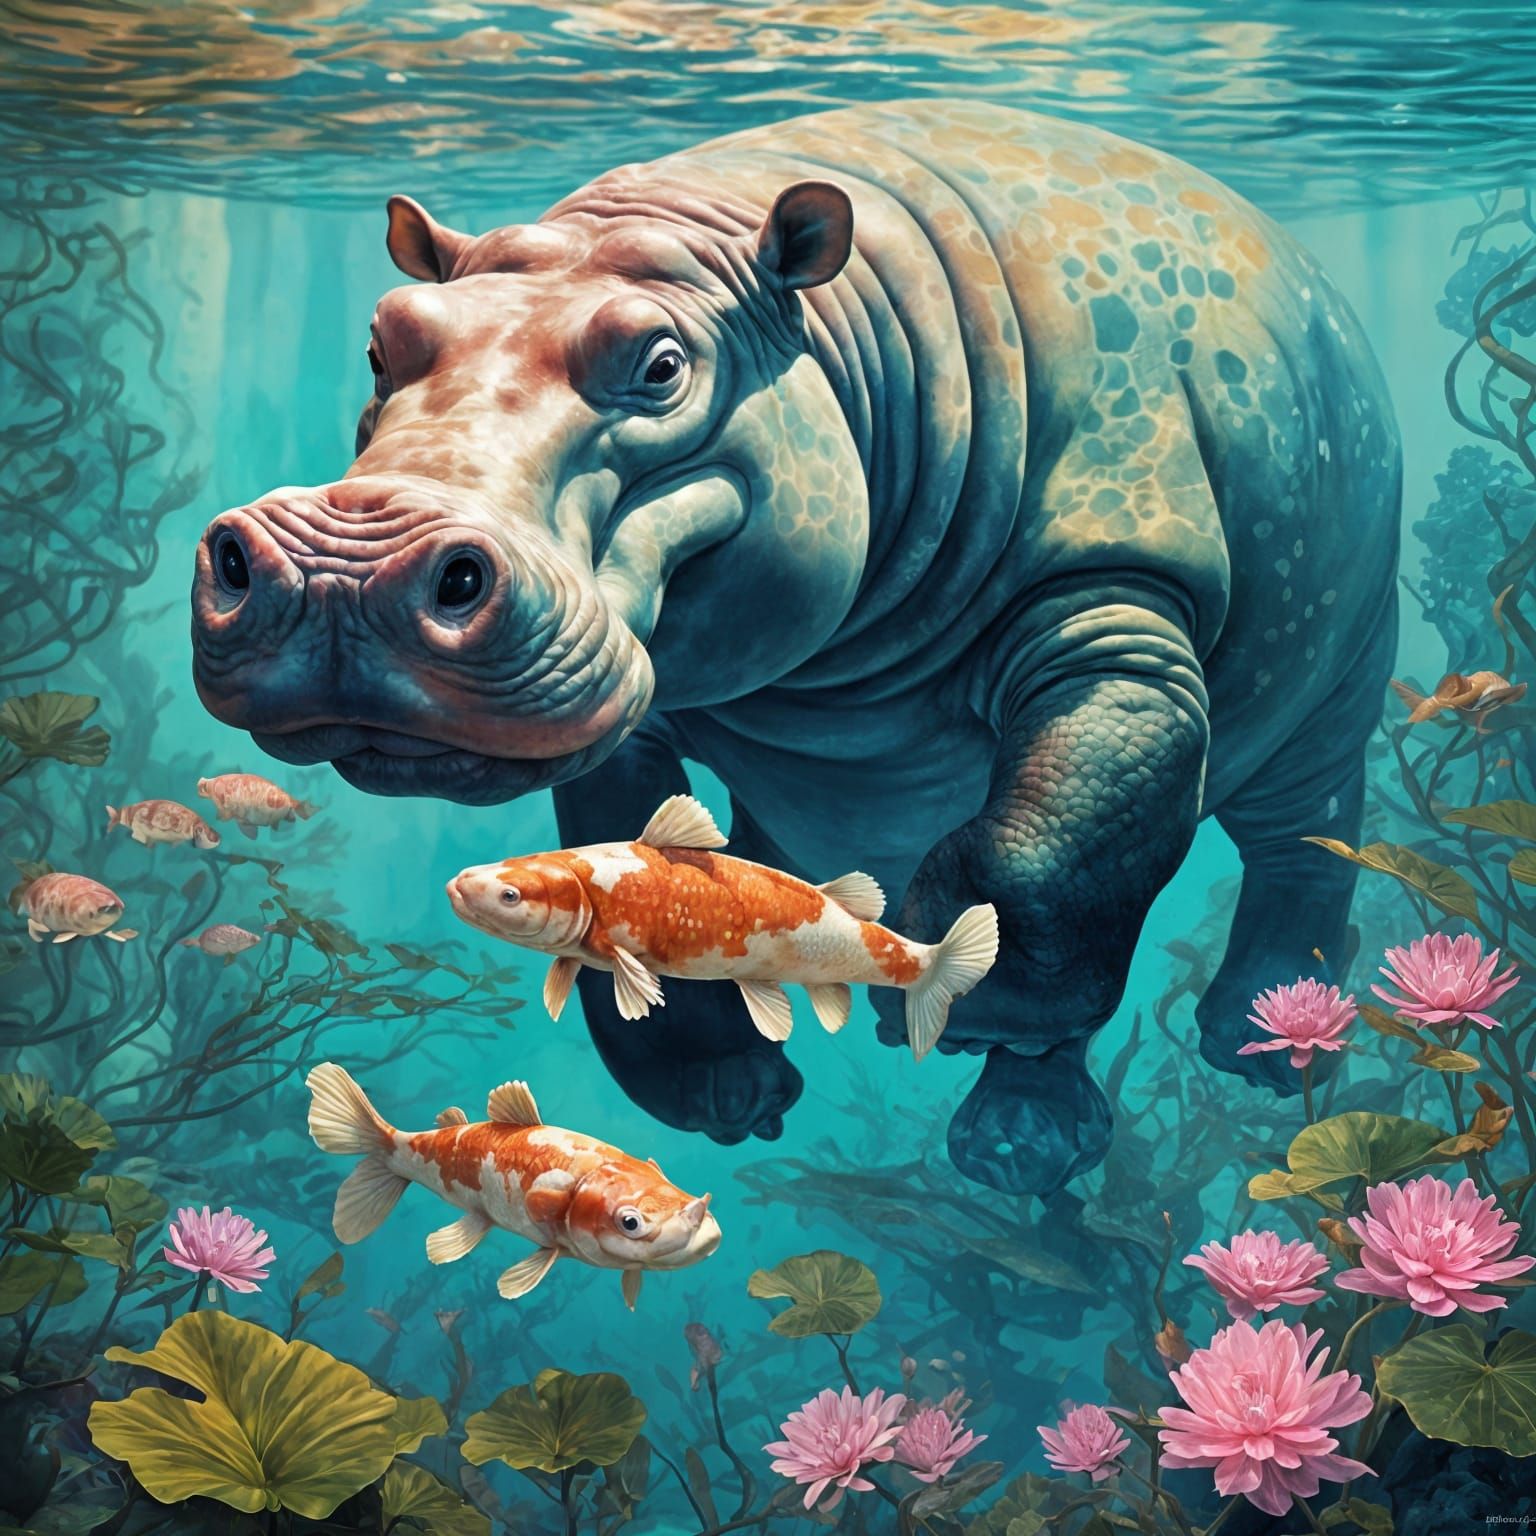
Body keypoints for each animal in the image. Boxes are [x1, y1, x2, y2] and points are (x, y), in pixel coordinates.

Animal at [192, 102, 1400, 1195]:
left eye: (663, 364)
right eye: (384, 338)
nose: (344, 571)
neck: (845, 336)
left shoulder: (1122, 604)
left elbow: (1055, 849)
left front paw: (959, 1008)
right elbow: (644, 858)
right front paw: (726, 1099)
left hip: (1339, 677)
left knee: (1297, 837)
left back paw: (1225, 1056)